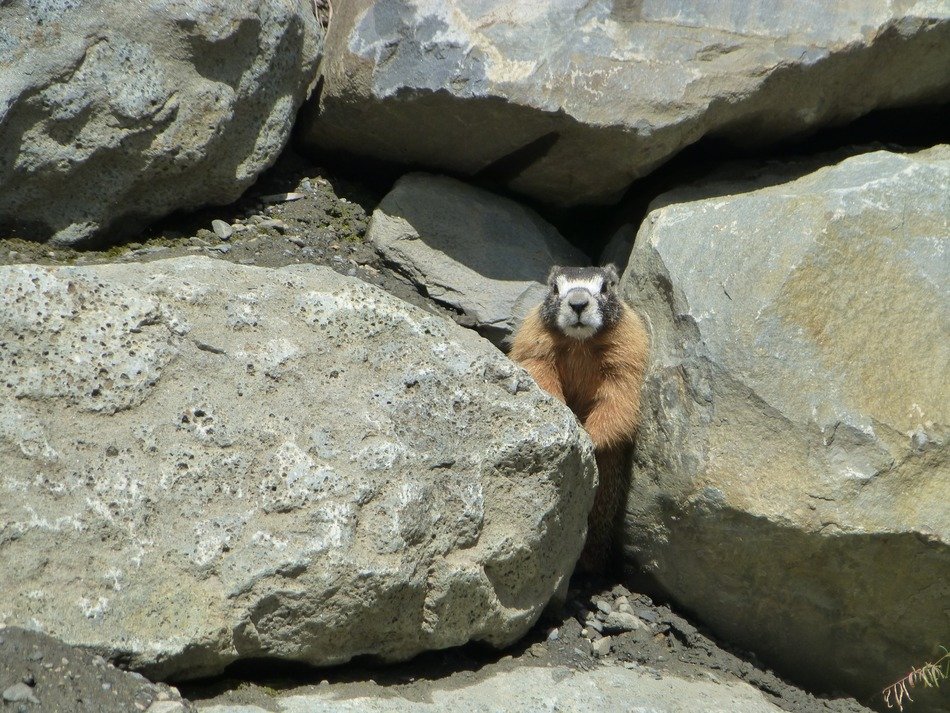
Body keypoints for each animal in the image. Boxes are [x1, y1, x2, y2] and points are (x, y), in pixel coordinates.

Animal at [510, 265, 648, 572]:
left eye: (606, 287)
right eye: (554, 288)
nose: (578, 304)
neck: (580, 344)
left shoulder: (628, 350)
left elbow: (618, 398)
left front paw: (591, 439)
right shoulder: (534, 340)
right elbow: (539, 372)